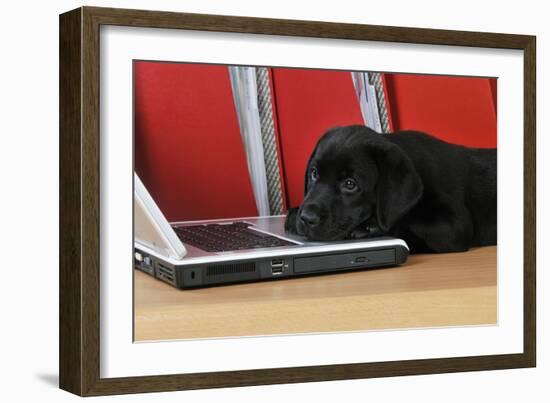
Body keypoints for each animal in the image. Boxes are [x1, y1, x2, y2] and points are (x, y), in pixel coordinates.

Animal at [286, 124, 498, 254]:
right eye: (314, 173)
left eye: (350, 184)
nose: (307, 218)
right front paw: (293, 214)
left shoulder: (455, 226)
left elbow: (405, 223)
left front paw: (367, 228)